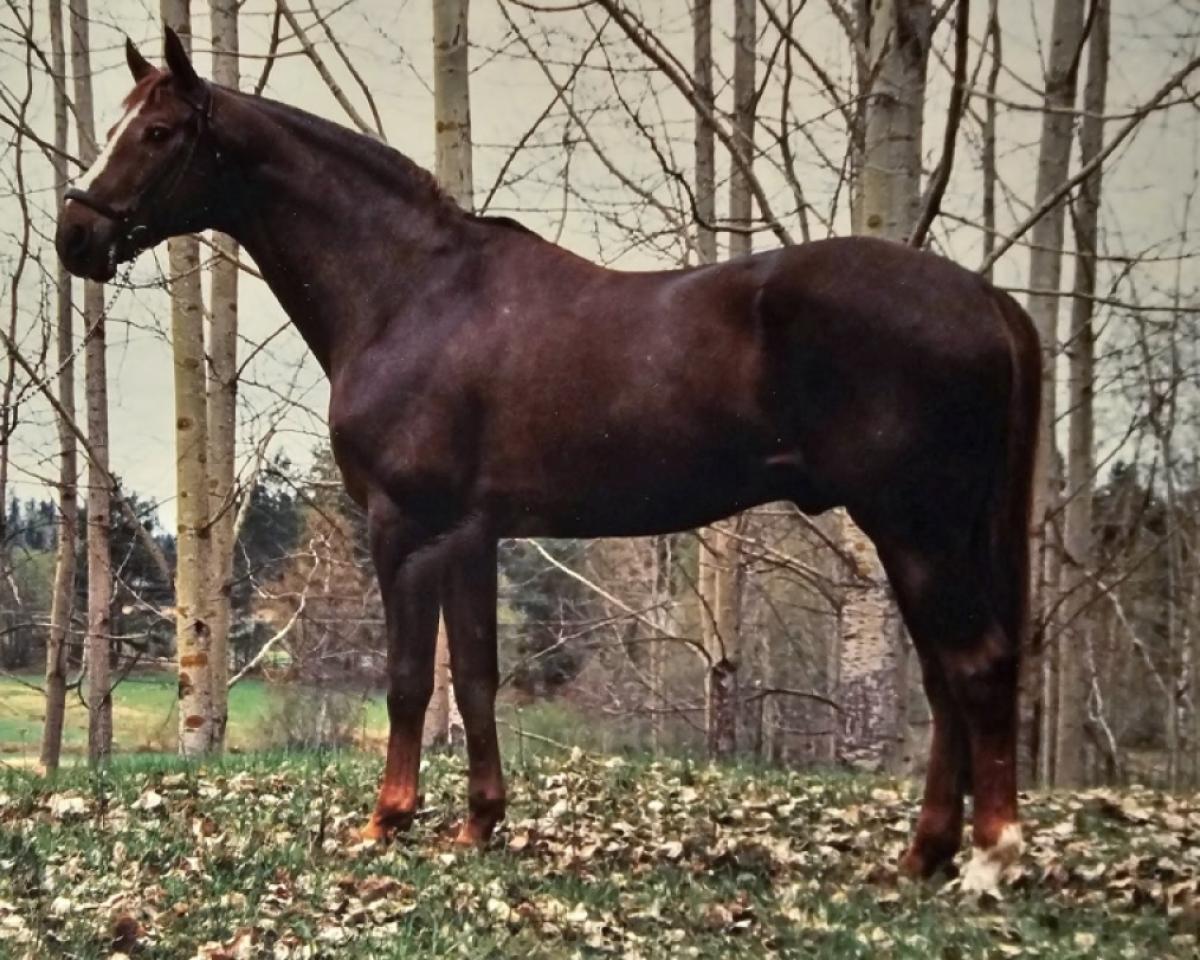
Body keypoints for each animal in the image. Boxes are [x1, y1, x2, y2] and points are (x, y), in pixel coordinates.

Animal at [57, 30, 1041, 892]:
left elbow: (411, 679)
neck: (410, 292)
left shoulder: (406, 528)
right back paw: (925, 855)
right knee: (945, 680)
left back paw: (990, 860)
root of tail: (985, 297)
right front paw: (479, 823)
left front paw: (388, 819)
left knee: (977, 667)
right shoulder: (470, 535)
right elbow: (475, 675)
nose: (75, 236)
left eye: (157, 132)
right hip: (927, 537)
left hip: (916, 530)